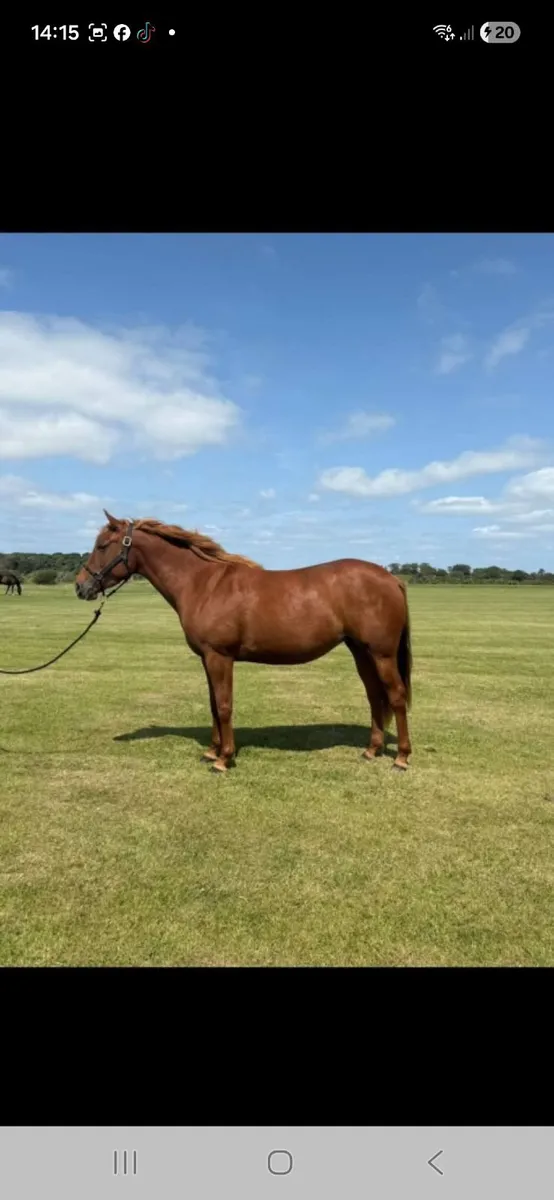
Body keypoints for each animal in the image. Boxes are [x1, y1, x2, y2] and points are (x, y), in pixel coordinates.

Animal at [75, 510, 413, 775]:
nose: (81, 587)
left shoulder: (219, 657)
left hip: (382, 654)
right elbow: (213, 704)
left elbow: (224, 705)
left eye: (102, 546)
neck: (204, 584)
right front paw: (211, 751)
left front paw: (223, 760)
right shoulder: (207, 658)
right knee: (375, 696)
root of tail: (390, 579)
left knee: (395, 696)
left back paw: (401, 758)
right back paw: (371, 750)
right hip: (361, 651)